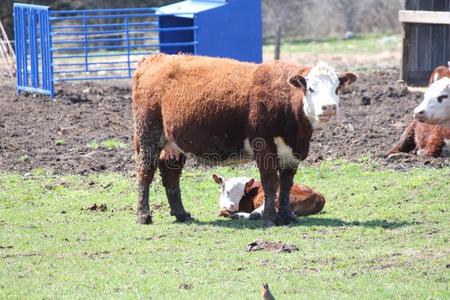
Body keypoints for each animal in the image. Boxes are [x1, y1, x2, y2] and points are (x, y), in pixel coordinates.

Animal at [132, 54, 356, 227]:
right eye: (311, 88)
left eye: (336, 88)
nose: (329, 107)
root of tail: (155, 58)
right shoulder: (264, 145)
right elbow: (270, 182)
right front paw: (269, 218)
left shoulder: (293, 150)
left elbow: (286, 183)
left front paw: (287, 216)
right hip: (148, 134)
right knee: (146, 172)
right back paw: (144, 216)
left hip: (174, 143)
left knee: (171, 174)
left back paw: (181, 214)